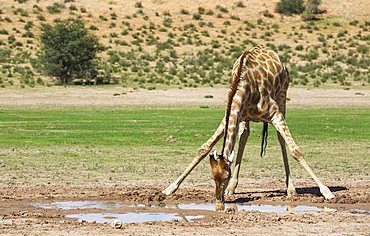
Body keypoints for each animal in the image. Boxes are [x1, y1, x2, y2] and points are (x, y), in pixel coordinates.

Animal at [163, 44, 336, 208]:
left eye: (225, 176)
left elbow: (296, 151)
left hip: (282, 97)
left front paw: (326, 192)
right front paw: (169, 189)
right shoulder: (232, 115)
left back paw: (291, 188)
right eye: (212, 176)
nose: (219, 199)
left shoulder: (275, 113)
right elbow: (203, 148)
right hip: (245, 118)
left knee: (280, 138)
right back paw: (231, 188)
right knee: (244, 136)